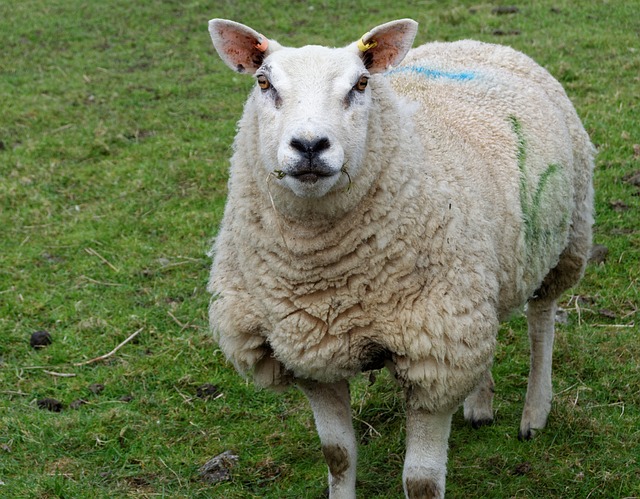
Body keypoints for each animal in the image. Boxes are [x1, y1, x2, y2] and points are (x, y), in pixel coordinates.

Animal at [206, 18, 596, 499]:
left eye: (360, 84)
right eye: (264, 82)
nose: (310, 145)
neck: (324, 278)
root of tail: (473, 42)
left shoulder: (435, 355)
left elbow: (421, 481)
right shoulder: (310, 351)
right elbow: (337, 456)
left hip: (565, 239)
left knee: (541, 320)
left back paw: (534, 414)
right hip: (484, 274)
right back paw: (479, 405)